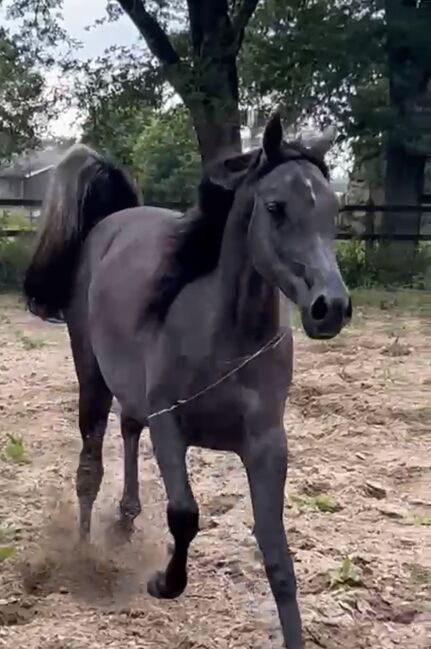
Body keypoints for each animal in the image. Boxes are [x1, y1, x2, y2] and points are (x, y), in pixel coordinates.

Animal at [23, 114, 352, 644]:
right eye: (275, 207)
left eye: (332, 209)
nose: (331, 308)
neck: (223, 336)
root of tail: (113, 222)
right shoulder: (170, 427)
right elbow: (184, 514)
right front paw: (162, 582)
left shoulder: (267, 445)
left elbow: (278, 557)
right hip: (91, 377)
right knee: (89, 466)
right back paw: (84, 552)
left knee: (127, 430)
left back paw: (126, 520)